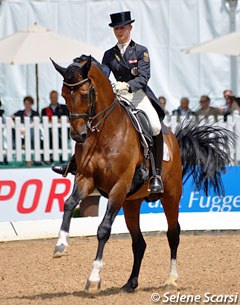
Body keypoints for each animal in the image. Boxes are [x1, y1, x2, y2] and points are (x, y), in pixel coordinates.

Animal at [50, 55, 232, 292]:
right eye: (64, 95)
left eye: (84, 94)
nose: (78, 135)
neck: (104, 133)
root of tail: (174, 139)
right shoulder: (86, 179)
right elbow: (70, 204)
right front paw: (61, 245)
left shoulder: (119, 186)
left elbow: (103, 230)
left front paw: (94, 277)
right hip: (131, 203)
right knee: (139, 243)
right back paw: (131, 282)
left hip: (170, 197)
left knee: (173, 234)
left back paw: (171, 279)